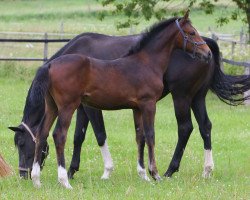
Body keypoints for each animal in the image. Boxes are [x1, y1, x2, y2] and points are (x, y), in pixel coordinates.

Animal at [17, 12, 211, 189]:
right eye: (192, 33)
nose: (207, 53)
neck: (147, 62)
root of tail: (49, 66)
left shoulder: (137, 108)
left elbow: (140, 136)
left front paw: (143, 175)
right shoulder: (148, 104)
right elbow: (150, 135)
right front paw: (154, 174)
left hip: (52, 107)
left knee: (42, 133)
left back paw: (37, 180)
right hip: (67, 107)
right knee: (59, 135)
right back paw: (64, 181)